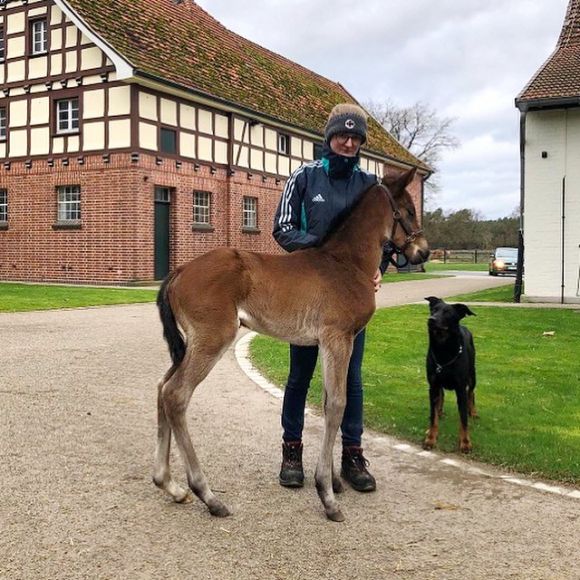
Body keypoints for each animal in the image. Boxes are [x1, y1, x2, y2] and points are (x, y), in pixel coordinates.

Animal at [154, 168, 430, 520]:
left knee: (162, 388)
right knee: (176, 394)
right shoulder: (338, 338)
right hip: (211, 339)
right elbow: (337, 404)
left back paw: (169, 484)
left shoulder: (329, 343)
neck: (346, 263)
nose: (423, 251)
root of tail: (180, 270)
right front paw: (327, 495)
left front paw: (336, 481)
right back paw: (207, 494)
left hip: (189, 344)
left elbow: (327, 402)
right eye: (408, 211)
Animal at [424, 294, 478, 454]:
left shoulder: (460, 387)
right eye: (433, 310)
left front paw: (465, 443)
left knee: (471, 392)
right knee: (441, 396)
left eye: (448, 313)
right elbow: (433, 416)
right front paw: (431, 438)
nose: (431, 319)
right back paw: (440, 411)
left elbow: (463, 419)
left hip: (472, 375)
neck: (443, 349)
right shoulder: (433, 384)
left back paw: (473, 412)